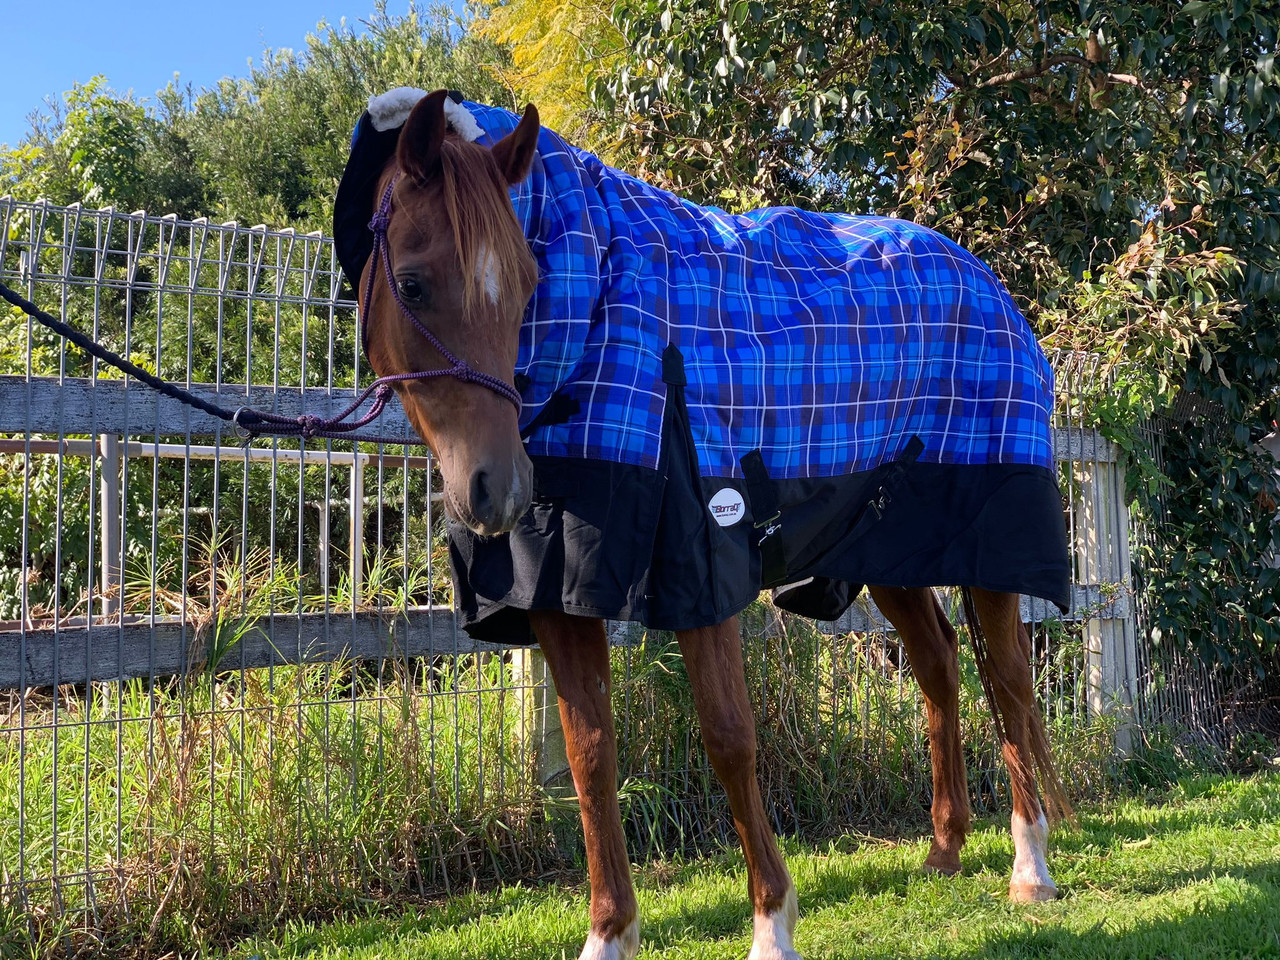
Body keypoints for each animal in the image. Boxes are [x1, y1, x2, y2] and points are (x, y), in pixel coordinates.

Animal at [334, 87, 1074, 960]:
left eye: (524, 285)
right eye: (413, 286)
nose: (502, 491)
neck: (597, 321)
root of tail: (984, 278)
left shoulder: (701, 562)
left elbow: (728, 739)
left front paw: (772, 925)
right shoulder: (558, 592)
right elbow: (590, 756)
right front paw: (609, 934)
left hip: (989, 542)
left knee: (1011, 682)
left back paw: (1030, 868)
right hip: (890, 548)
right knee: (939, 667)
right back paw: (945, 847)